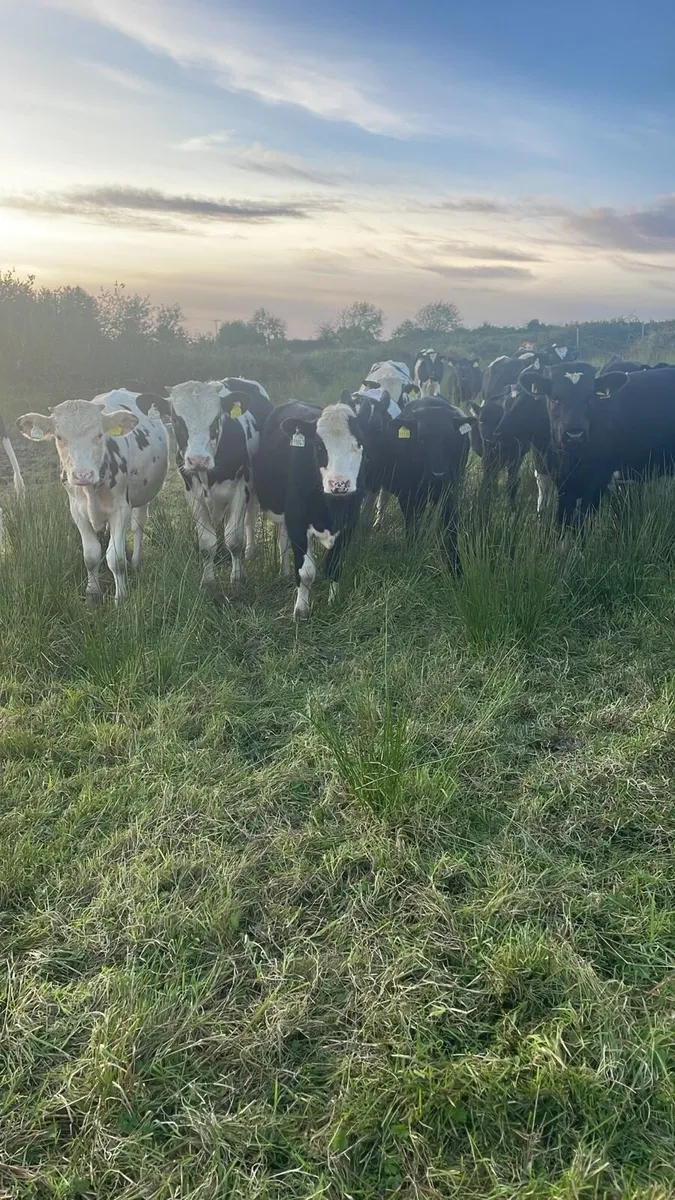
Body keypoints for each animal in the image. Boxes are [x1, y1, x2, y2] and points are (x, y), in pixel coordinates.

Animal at [16, 389, 168, 602]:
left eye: (99, 435)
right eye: (59, 437)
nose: (83, 474)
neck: (90, 490)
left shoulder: (121, 510)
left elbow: (116, 558)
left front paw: (121, 596)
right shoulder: (77, 511)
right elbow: (91, 555)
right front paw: (92, 592)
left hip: (143, 496)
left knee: (138, 525)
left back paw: (136, 561)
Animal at [148, 377, 273, 590]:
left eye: (215, 420)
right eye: (176, 420)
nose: (198, 460)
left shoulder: (240, 490)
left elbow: (234, 540)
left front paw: (237, 578)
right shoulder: (193, 495)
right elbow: (206, 543)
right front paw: (208, 581)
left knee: (250, 518)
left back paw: (250, 551)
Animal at [252, 394, 370, 618]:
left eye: (359, 443)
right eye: (319, 446)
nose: (339, 484)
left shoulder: (350, 523)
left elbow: (334, 565)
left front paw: (334, 600)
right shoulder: (296, 521)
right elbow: (305, 571)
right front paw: (301, 609)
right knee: (283, 541)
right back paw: (284, 572)